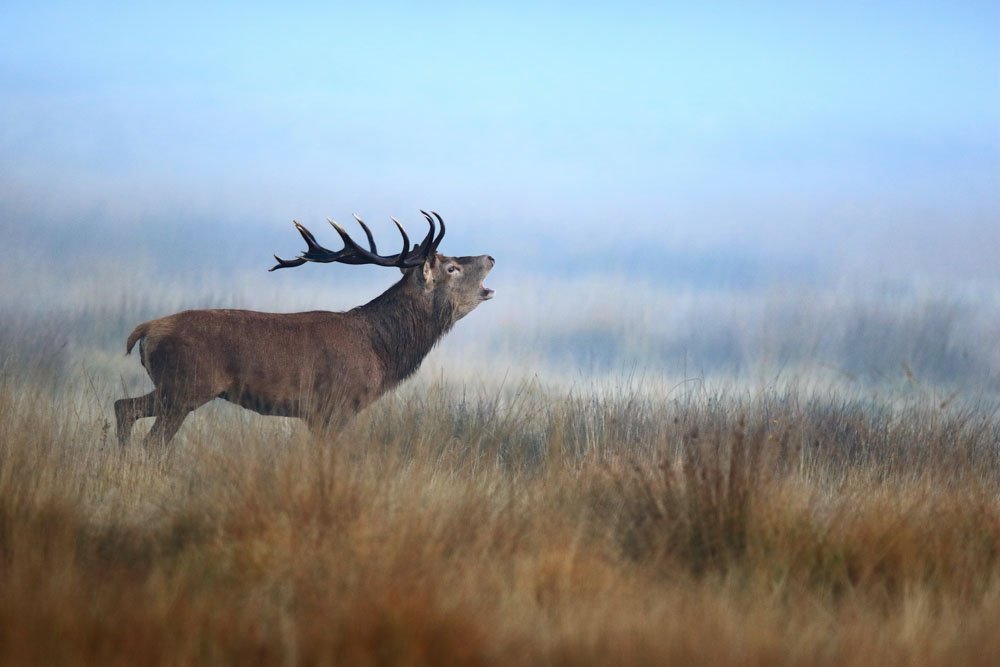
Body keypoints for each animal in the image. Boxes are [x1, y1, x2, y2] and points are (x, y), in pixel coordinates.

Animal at [114, 211, 494, 448]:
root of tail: (145, 332)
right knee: (152, 441)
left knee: (123, 406)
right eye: (452, 267)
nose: (490, 257)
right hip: (186, 386)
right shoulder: (335, 405)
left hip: (172, 388)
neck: (381, 352)